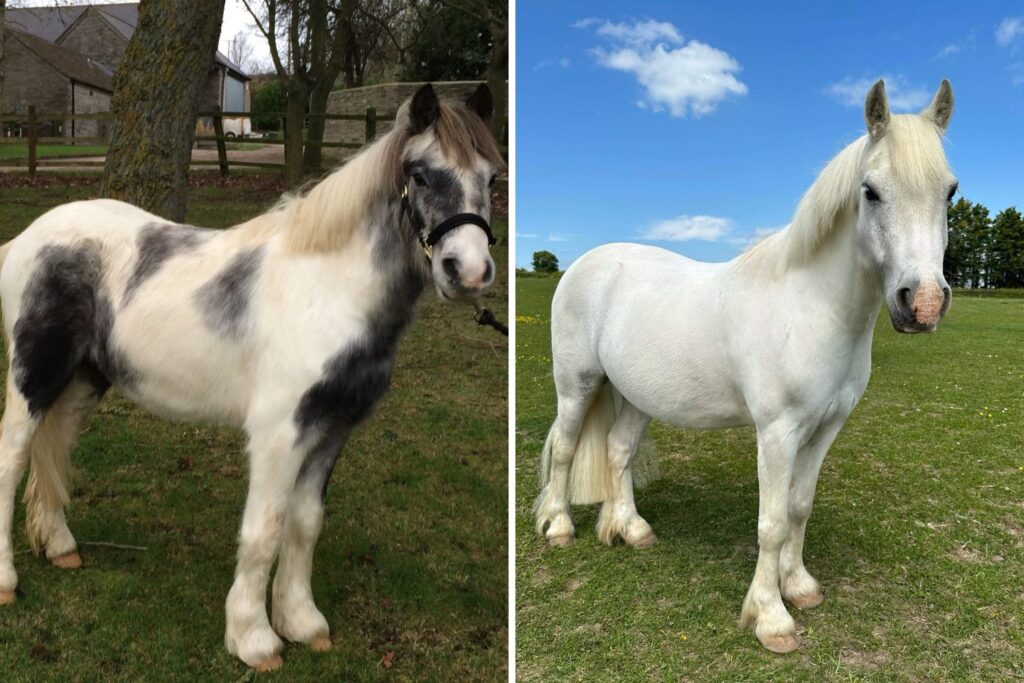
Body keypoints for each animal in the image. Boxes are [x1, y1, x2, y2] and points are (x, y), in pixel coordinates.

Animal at [0, 83, 504, 671]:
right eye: (420, 174)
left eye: (491, 178)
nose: (468, 272)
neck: (326, 287)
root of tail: (27, 239)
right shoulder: (279, 433)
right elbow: (265, 528)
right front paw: (254, 638)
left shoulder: (331, 431)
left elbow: (305, 524)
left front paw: (302, 622)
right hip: (32, 377)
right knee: (12, 459)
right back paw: (8, 580)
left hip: (81, 381)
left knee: (55, 446)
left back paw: (60, 547)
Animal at [534, 80, 957, 653]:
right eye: (870, 191)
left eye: (950, 192)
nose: (924, 303)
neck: (811, 305)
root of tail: (585, 264)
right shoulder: (777, 432)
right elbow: (772, 522)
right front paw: (772, 618)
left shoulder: (826, 426)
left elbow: (799, 505)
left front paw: (799, 586)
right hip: (577, 385)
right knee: (564, 447)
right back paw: (558, 527)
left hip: (638, 397)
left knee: (618, 451)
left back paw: (632, 529)